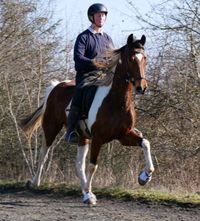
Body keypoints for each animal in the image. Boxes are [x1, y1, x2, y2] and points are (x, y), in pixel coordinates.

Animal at [19, 34, 155, 205]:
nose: (141, 87)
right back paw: (35, 183)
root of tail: (56, 86)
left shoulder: (124, 135)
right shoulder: (98, 138)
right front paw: (90, 195)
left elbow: (145, 143)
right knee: (44, 153)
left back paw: (84, 190)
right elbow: (92, 166)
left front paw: (145, 176)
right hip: (51, 128)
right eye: (131, 59)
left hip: (82, 136)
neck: (116, 101)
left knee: (78, 165)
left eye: (145, 58)